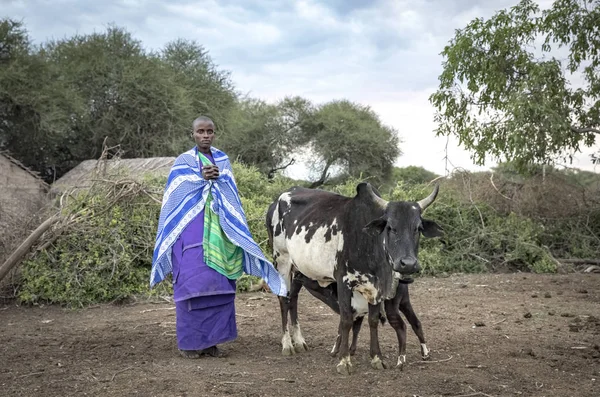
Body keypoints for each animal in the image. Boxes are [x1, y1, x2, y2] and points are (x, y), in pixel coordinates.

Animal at [264, 181, 442, 372]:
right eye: (390, 227)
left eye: (418, 228)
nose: (408, 264)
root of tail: (277, 200)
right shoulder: (343, 282)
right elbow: (346, 320)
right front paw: (344, 361)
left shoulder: (375, 288)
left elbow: (373, 320)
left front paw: (377, 358)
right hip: (282, 261)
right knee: (283, 300)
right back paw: (287, 345)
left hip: (298, 269)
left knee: (293, 299)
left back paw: (299, 341)